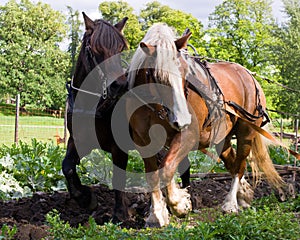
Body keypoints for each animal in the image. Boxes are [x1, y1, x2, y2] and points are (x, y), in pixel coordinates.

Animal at [127, 23, 284, 228]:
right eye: (158, 77)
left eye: (185, 73)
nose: (182, 119)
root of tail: (249, 76)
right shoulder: (143, 142)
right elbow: (154, 175)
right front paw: (157, 215)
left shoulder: (188, 135)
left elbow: (167, 167)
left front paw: (180, 204)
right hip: (222, 138)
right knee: (232, 162)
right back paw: (243, 195)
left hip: (246, 132)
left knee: (239, 165)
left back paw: (230, 204)